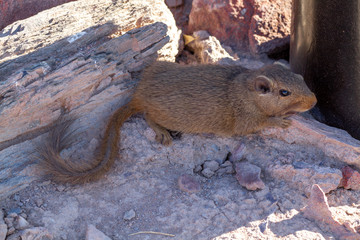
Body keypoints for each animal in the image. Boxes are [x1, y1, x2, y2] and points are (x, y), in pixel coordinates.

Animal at [38, 61, 316, 183]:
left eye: (300, 76)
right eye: (284, 93)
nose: (314, 101)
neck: (244, 88)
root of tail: (138, 96)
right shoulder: (245, 122)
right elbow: (262, 123)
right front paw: (280, 122)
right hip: (167, 117)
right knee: (148, 117)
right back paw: (162, 133)